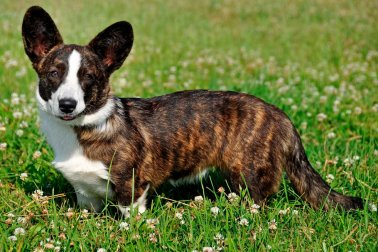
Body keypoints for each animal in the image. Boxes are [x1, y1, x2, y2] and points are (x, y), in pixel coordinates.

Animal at [21, 5, 364, 215]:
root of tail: (280, 115)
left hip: (251, 177)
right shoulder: (85, 196)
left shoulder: (132, 187)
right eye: (54, 74)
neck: (82, 129)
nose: (67, 104)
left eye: (88, 78)